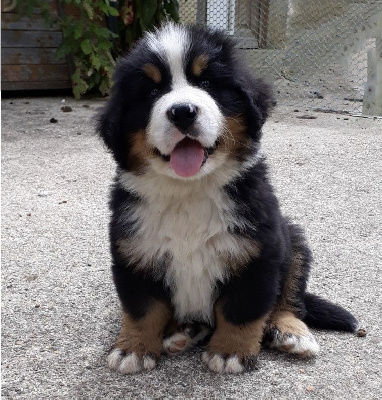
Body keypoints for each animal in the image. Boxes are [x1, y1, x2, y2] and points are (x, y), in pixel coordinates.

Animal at [96, 23, 358, 374]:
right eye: (151, 91)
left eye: (207, 83)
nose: (182, 111)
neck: (189, 191)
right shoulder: (134, 251)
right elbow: (142, 309)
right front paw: (133, 349)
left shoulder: (257, 252)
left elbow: (241, 309)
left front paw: (229, 352)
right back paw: (184, 331)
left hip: (294, 241)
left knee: (289, 299)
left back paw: (291, 332)